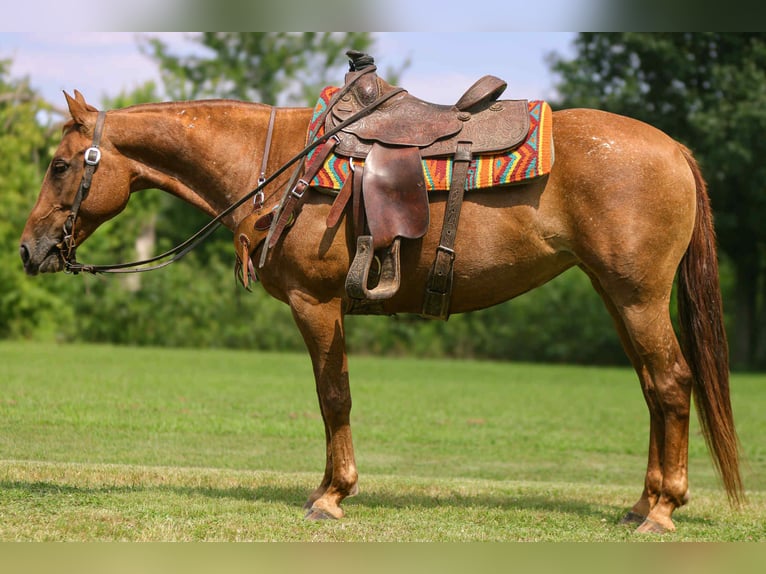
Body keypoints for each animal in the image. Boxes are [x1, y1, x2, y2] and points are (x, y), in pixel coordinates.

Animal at [19, 88, 742, 534]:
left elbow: (332, 396)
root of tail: (675, 150)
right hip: (618, 296)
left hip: (637, 297)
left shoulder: (316, 303)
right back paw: (641, 504)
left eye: (59, 165)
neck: (278, 167)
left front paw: (331, 495)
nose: (29, 248)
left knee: (671, 383)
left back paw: (663, 509)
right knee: (654, 390)